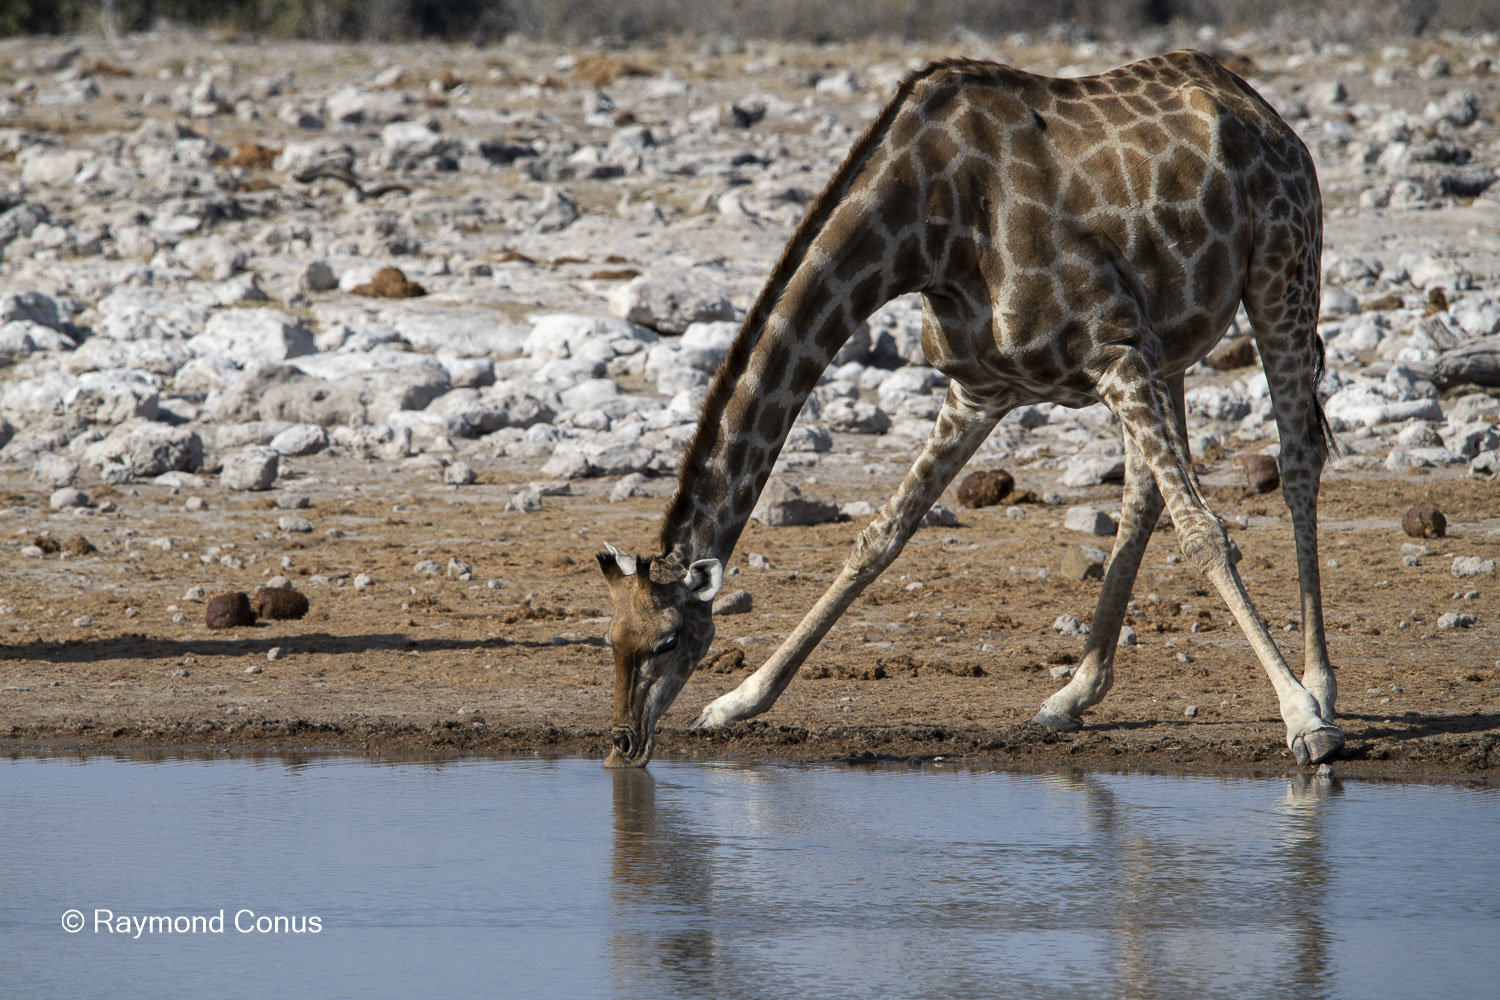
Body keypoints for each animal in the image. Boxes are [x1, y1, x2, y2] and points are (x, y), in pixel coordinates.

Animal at [597, 50, 1342, 769]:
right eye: (610, 639)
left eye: (667, 642)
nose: (623, 743)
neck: (925, 231)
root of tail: (1265, 112)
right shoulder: (982, 387)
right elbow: (881, 536)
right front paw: (738, 701)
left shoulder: (1115, 347)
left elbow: (1204, 533)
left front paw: (1303, 720)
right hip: (1174, 342)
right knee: (1146, 492)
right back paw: (1073, 695)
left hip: (1281, 271)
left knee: (1297, 456)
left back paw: (1321, 687)